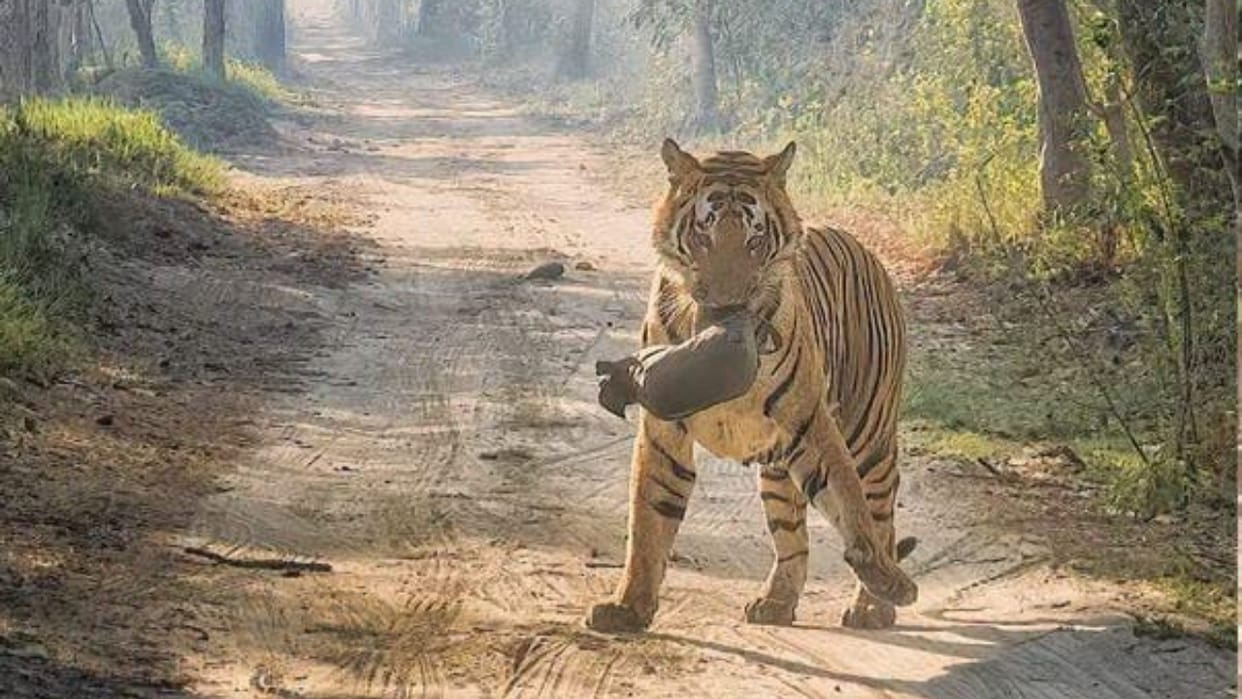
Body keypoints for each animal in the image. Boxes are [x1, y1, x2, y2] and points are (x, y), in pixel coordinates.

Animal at [585, 139, 918, 633]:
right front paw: (627, 607)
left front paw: (883, 577)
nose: (728, 305)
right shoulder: (663, 431)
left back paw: (872, 605)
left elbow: (850, 500)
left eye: (755, 241)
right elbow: (648, 518)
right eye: (702, 235)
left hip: (868, 436)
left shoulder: (809, 421)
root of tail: (866, 248)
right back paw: (776, 602)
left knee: (878, 511)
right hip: (778, 468)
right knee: (791, 537)